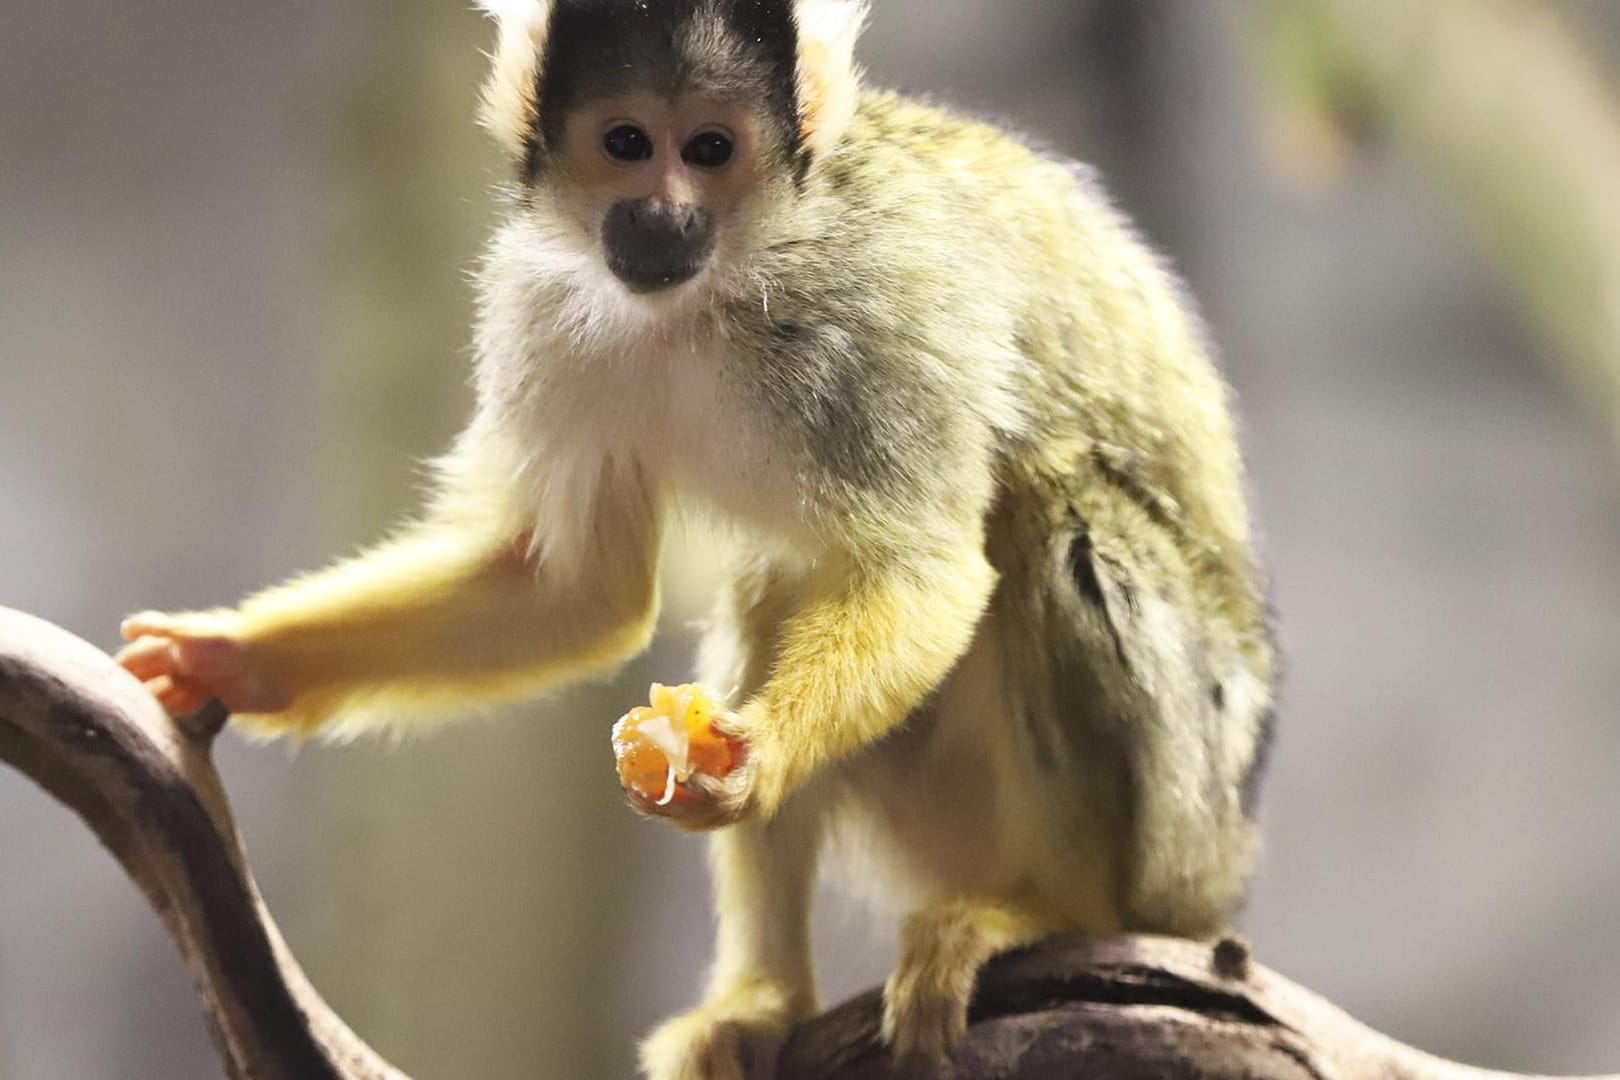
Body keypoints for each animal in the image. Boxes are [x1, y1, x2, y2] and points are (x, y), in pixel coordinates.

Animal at [117, 4, 1276, 1075]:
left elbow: (927, 570)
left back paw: (1047, 905)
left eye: (712, 149)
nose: (661, 215)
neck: (718, 282)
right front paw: (236, 655)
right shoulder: (543, 309)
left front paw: (758, 756)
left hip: (1180, 821)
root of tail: (1226, 868)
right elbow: (569, 589)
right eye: (628, 142)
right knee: (779, 584)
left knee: (1040, 511)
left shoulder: (877, 310)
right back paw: (768, 998)